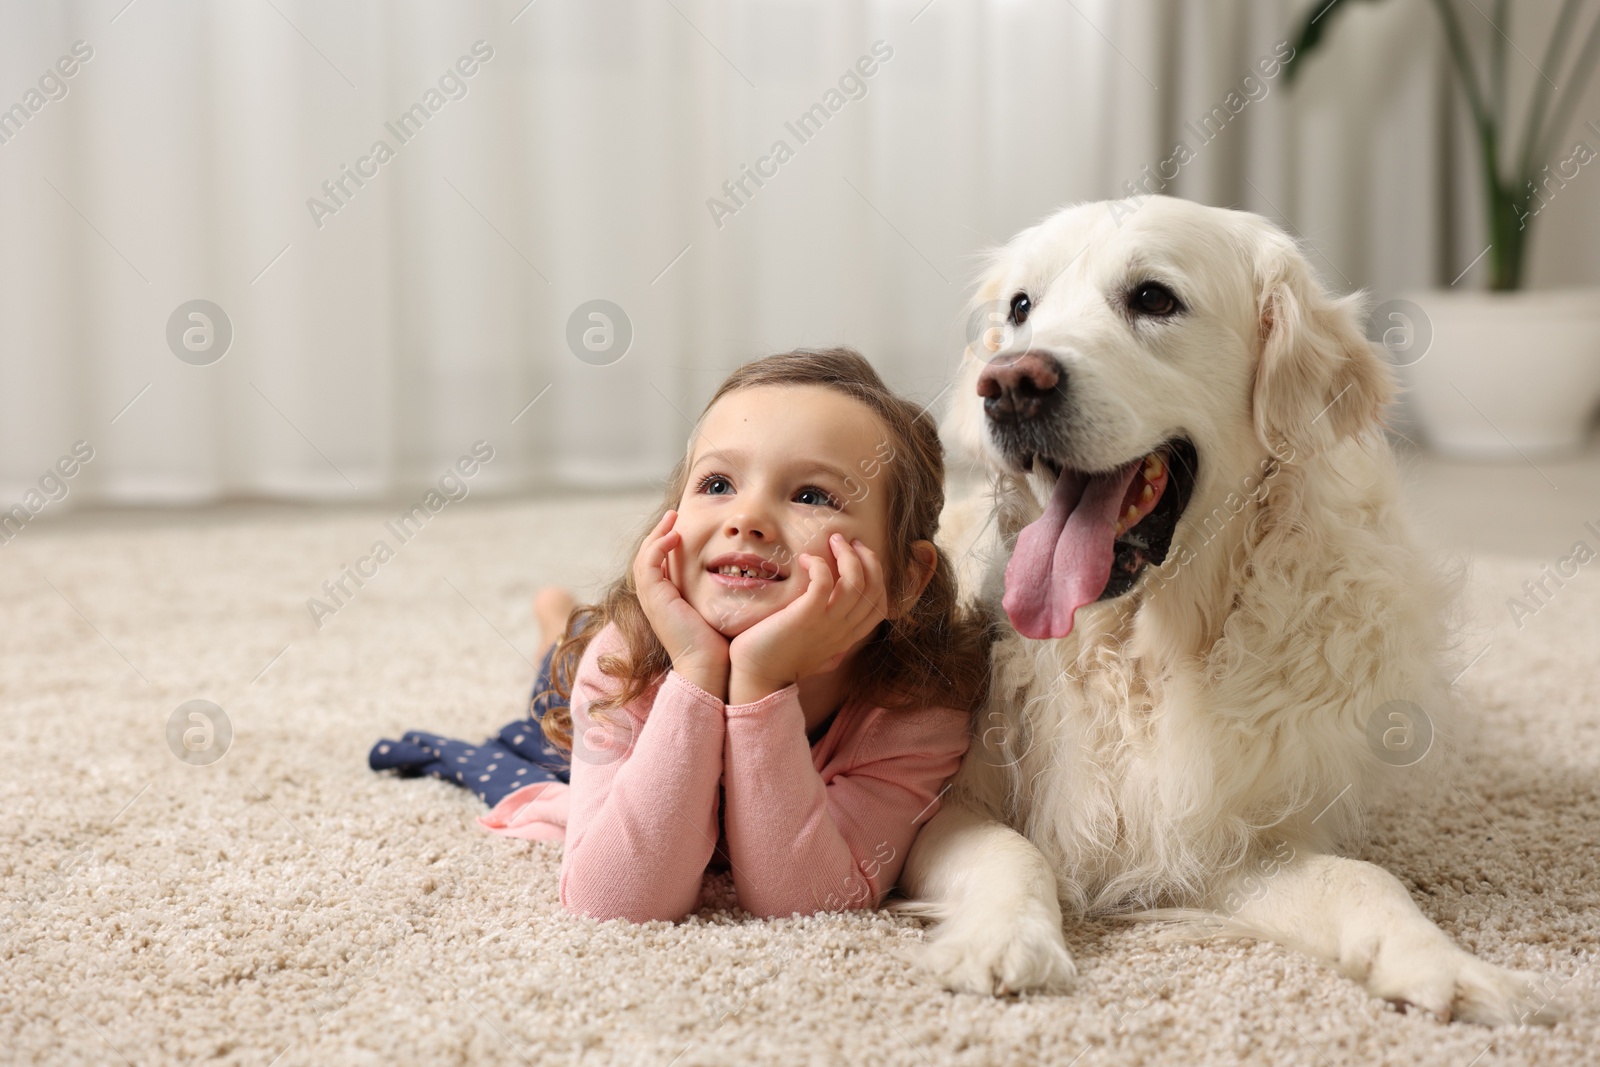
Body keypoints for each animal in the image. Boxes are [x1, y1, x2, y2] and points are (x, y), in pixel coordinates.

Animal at [902, 194, 1561, 1023]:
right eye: (1022, 307)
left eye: (1153, 297)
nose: (1010, 383)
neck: (1142, 650)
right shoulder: (944, 807)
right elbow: (1010, 850)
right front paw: (1002, 938)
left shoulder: (1227, 832)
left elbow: (1365, 878)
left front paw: (1445, 963)